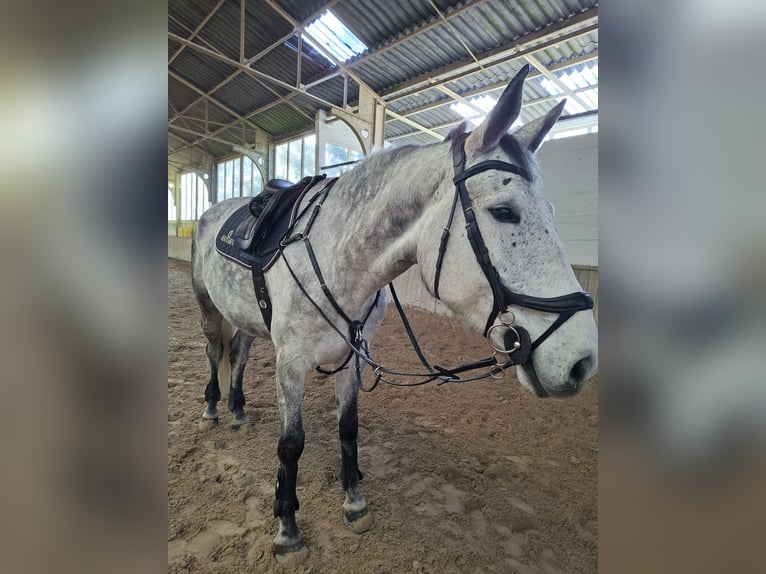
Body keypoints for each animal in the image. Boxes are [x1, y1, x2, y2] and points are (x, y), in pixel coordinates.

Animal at [190, 65, 598, 561]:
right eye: (504, 212)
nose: (581, 360)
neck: (335, 255)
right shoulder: (291, 362)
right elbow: (291, 445)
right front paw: (287, 528)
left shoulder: (352, 354)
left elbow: (348, 428)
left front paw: (354, 502)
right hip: (208, 307)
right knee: (215, 352)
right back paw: (213, 408)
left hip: (247, 318)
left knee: (240, 354)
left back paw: (237, 410)